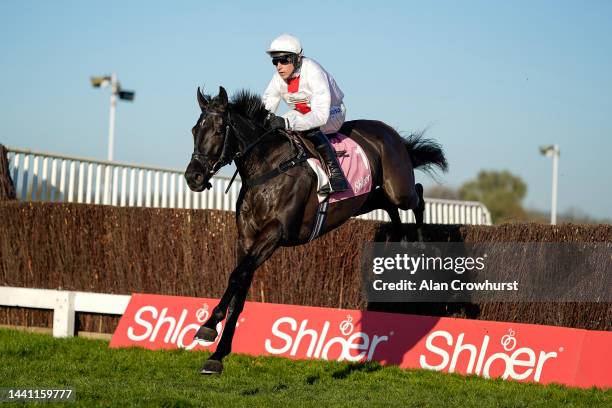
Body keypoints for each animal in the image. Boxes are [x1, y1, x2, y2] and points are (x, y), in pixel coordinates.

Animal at [184, 86, 448, 372]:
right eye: (194, 130)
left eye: (219, 130)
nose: (193, 177)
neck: (268, 169)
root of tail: (390, 132)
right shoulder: (246, 240)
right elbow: (239, 287)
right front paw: (217, 355)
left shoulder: (275, 233)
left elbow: (236, 276)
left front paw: (208, 326)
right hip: (362, 200)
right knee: (389, 205)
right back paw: (397, 239)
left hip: (398, 188)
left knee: (417, 196)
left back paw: (422, 244)